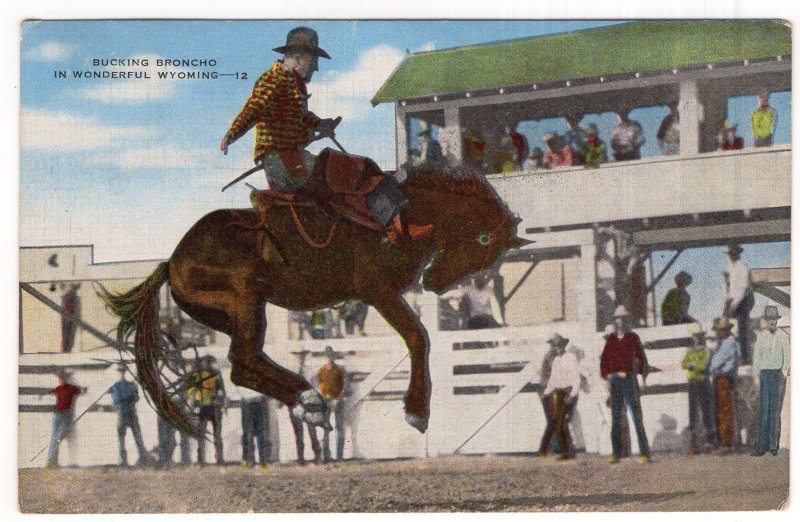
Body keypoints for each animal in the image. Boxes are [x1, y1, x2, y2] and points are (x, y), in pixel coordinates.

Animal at [98, 148, 524, 432]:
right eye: (482, 240)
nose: (436, 284)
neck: (402, 217)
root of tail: (172, 263)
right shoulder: (379, 293)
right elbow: (419, 338)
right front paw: (417, 410)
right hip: (245, 302)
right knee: (242, 361)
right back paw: (308, 399)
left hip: (230, 314)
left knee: (244, 365)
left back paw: (307, 400)